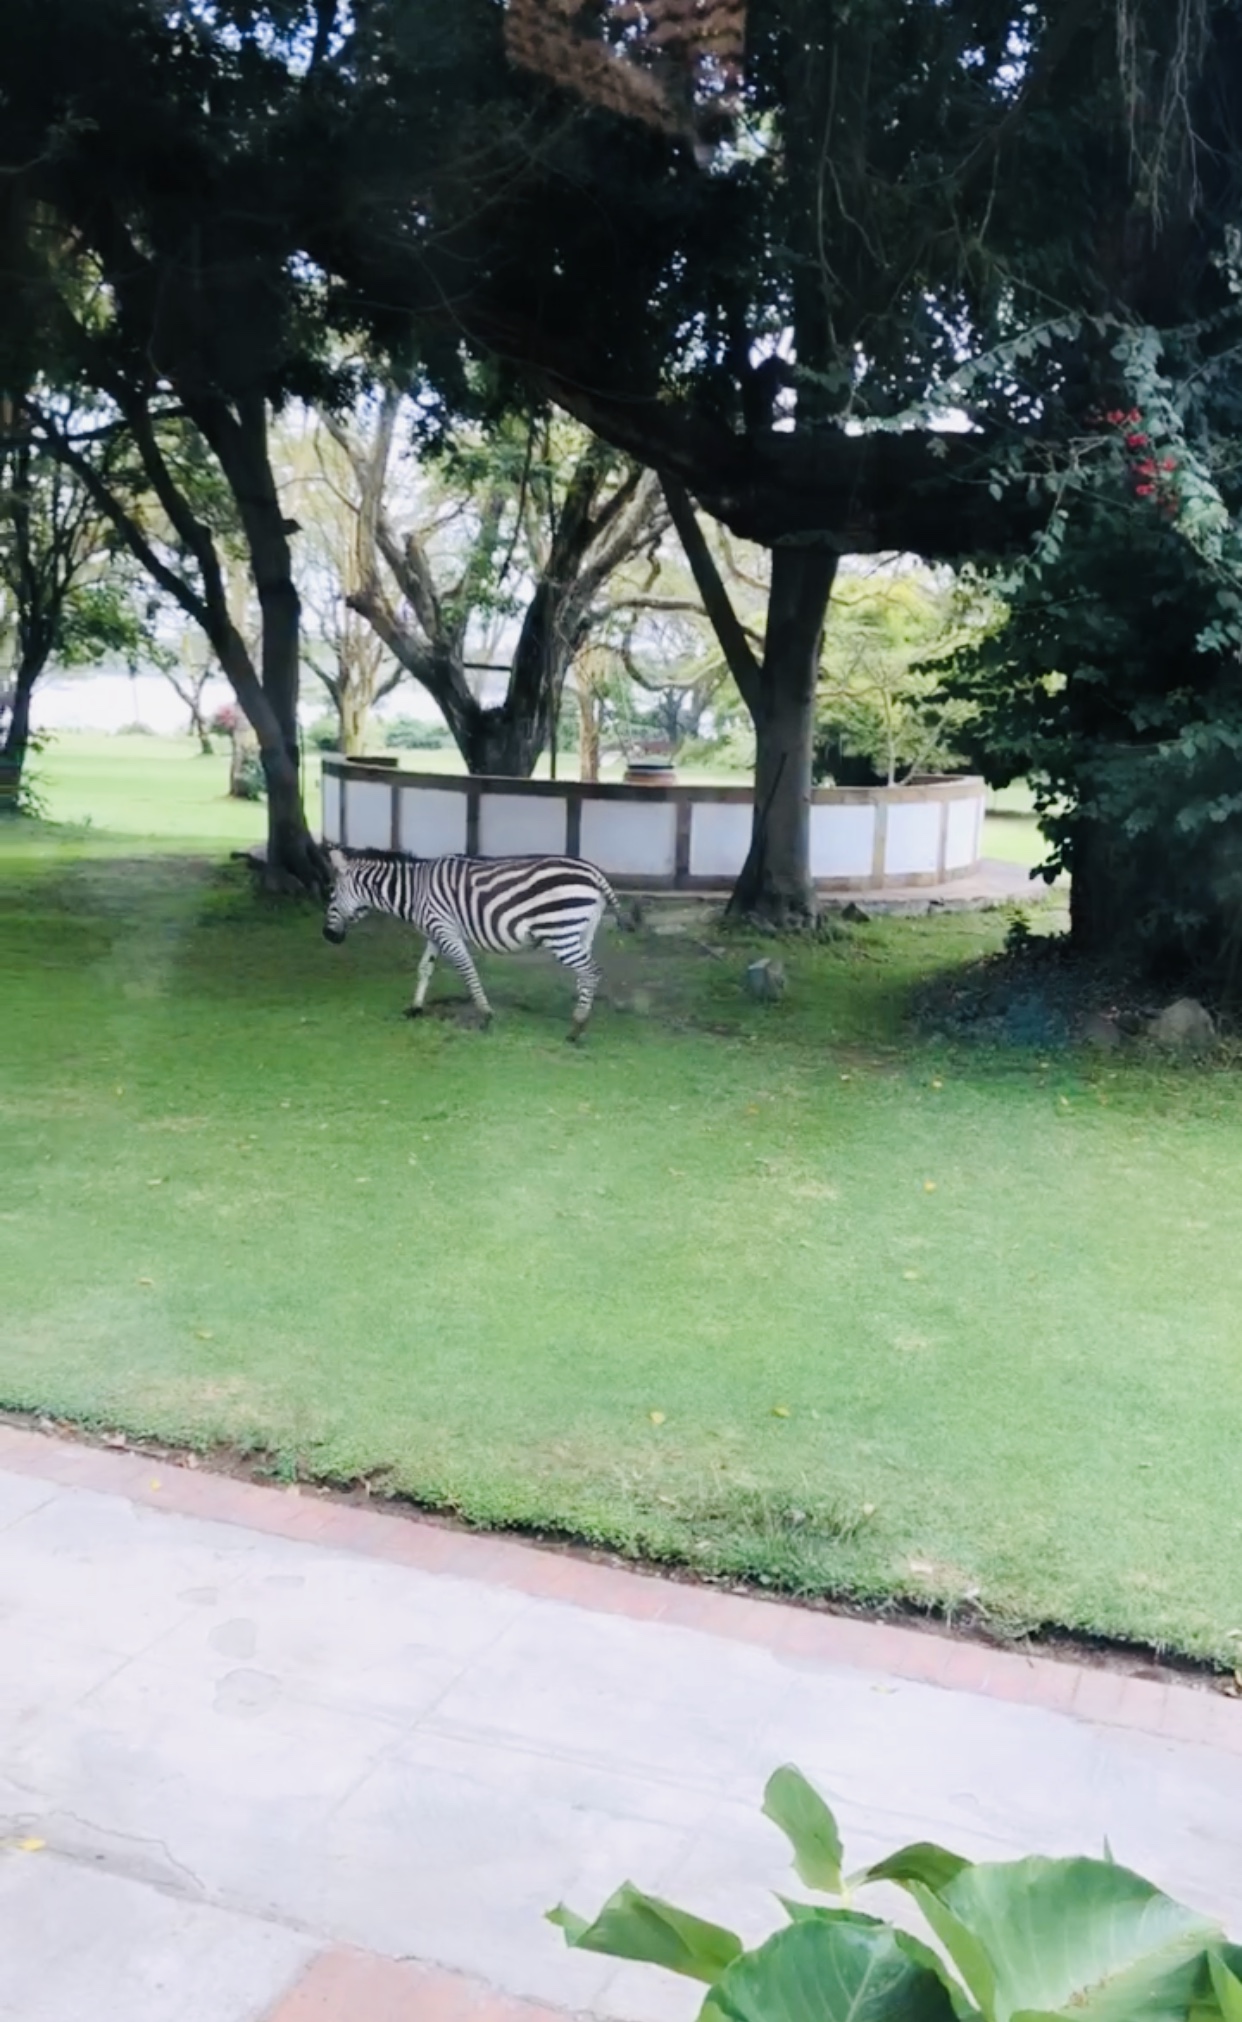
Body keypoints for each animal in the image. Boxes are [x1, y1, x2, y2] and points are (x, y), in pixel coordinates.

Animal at [325, 849, 623, 1043]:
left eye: (331, 895)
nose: (328, 936)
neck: (414, 893)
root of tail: (594, 872)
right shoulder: (435, 932)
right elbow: (425, 969)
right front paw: (415, 1008)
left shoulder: (447, 931)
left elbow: (467, 970)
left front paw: (485, 1015)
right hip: (580, 933)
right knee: (585, 975)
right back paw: (580, 1021)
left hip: (560, 932)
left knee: (592, 972)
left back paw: (577, 1027)